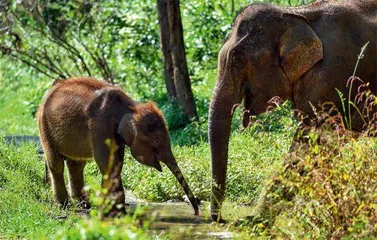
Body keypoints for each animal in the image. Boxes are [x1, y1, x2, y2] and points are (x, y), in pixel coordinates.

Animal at [36, 77, 198, 216]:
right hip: (44, 126)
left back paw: (84, 205)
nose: (196, 213)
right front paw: (114, 214)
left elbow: (117, 163)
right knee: (56, 163)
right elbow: (107, 162)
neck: (131, 106)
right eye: (157, 142)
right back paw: (62, 205)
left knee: (76, 164)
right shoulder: (99, 126)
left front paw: (114, 212)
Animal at [209, 0, 376, 221]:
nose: (219, 219)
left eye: (238, 58)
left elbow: (309, 144)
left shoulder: (330, 77)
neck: (295, 14)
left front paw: (252, 220)